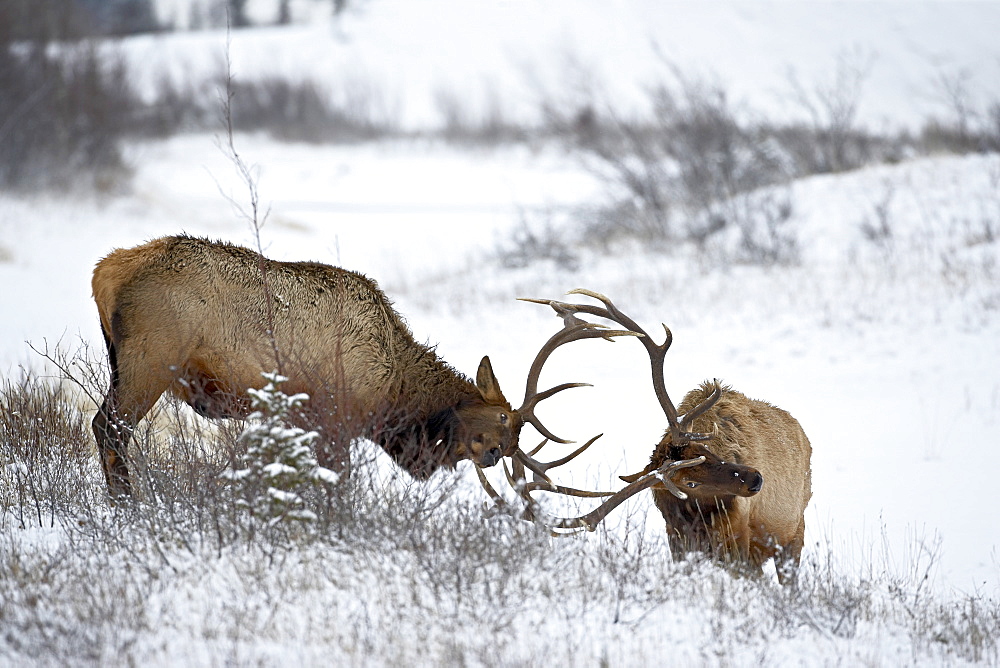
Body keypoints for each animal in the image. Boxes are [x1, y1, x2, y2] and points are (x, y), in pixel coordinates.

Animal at [90, 235, 620, 496]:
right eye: (503, 418)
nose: (491, 454)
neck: (394, 390)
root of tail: (105, 270)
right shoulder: (336, 417)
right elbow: (338, 484)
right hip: (152, 359)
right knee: (108, 426)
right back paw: (127, 506)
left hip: (125, 359)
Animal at [508, 290, 812, 580]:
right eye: (689, 483)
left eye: (706, 452)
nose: (755, 479)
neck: (698, 519)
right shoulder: (679, 542)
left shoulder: (740, 544)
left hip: (794, 532)